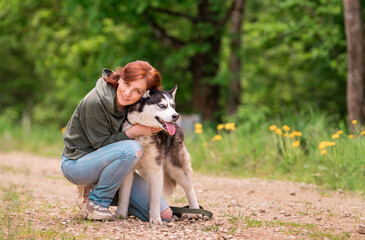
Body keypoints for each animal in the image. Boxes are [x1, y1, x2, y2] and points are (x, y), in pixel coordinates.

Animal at [114, 85, 198, 224]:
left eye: (173, 105)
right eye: (162, 105)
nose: (176, 116)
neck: (142, 136)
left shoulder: (155, 170)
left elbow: (155, 199)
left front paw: (155, 218)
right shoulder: (129, 172)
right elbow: (124, 195)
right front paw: (120, 214)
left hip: (178, 171)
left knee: (190, 190)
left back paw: (194, 211)